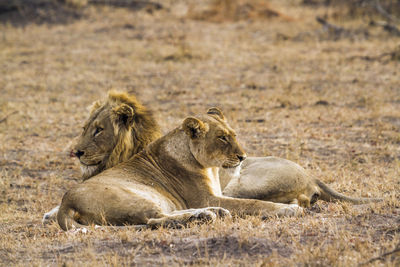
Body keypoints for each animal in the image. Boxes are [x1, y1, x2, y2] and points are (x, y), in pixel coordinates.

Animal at [56, 109, 300, 230]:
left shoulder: (212, 196)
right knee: (154, 220)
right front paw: (289, 209)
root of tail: (65, 205)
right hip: (133, 197)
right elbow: (253, 203)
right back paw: (204, 216)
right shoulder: (204, 197)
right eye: (221, 138)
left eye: (233, 135)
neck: (210, 168)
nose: (243, 157)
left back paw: (212, 213)